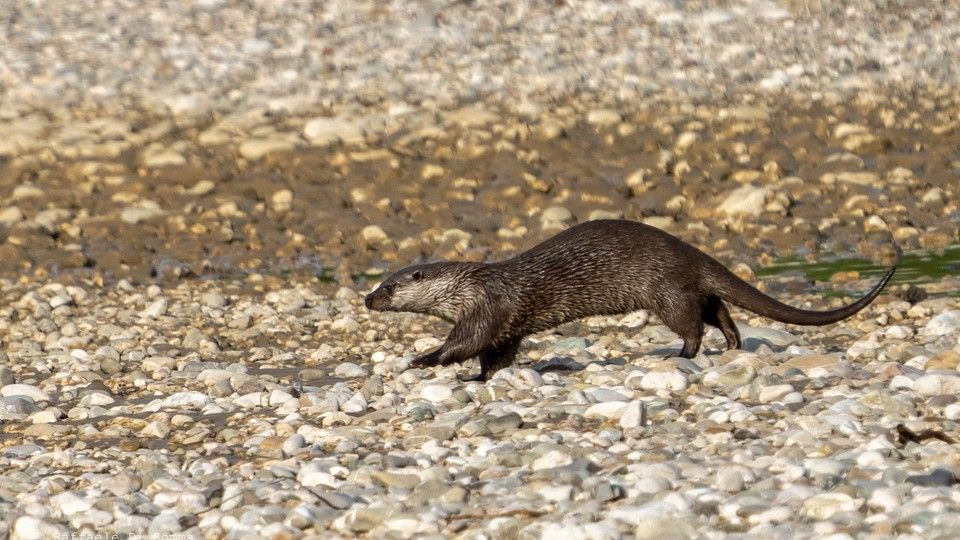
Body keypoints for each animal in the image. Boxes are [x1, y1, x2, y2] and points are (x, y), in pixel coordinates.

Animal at [364, 218, 896, 380]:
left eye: (389, 286)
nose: (368, 299)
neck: (470, 287)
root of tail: (691, 252)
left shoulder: (486, 308)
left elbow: (466, 344)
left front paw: (424, 359)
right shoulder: (506, 322)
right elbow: (497, 353)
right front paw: (480, 378)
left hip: (664, 289)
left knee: (692, 322)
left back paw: (682, 354)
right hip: (683, 285)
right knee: (717, 308)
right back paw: (732, 345)